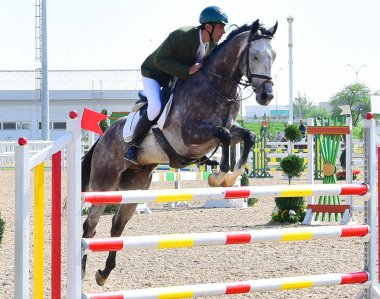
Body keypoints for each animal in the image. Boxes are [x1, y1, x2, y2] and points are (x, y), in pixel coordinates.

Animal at [82, 18, 276, 286]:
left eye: (274, 56)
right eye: (255, 55)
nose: (267, 95)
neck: (216, 85)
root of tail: (102, 138)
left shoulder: (227, 129)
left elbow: (248, 136)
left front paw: (231, 176)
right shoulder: (189, 135)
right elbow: (224, 136)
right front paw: (218, 176)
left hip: (135, 186)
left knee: (117, 225)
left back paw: (103, 273)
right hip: (104, 184)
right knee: (90, 225)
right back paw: (81, 271)